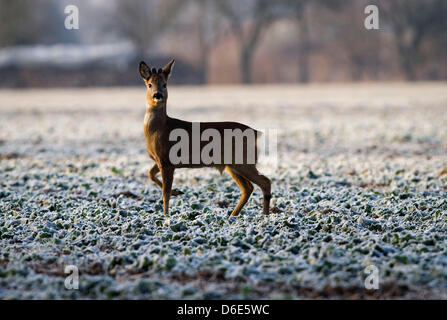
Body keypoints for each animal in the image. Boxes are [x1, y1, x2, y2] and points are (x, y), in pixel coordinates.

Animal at [141, 58, 272, 216]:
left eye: (164, 84)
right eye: (149, 84)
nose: (157, 95)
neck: (159, 129)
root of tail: (256, 132)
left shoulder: (167, 161)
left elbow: (165, 192)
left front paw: (166, 215)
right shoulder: (158, 159)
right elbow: (150, 174)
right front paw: (177, 192)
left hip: (244, 161)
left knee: (265, 182)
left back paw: (264, 215)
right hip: (232, 165)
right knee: (248, 188)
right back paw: (233, 215)